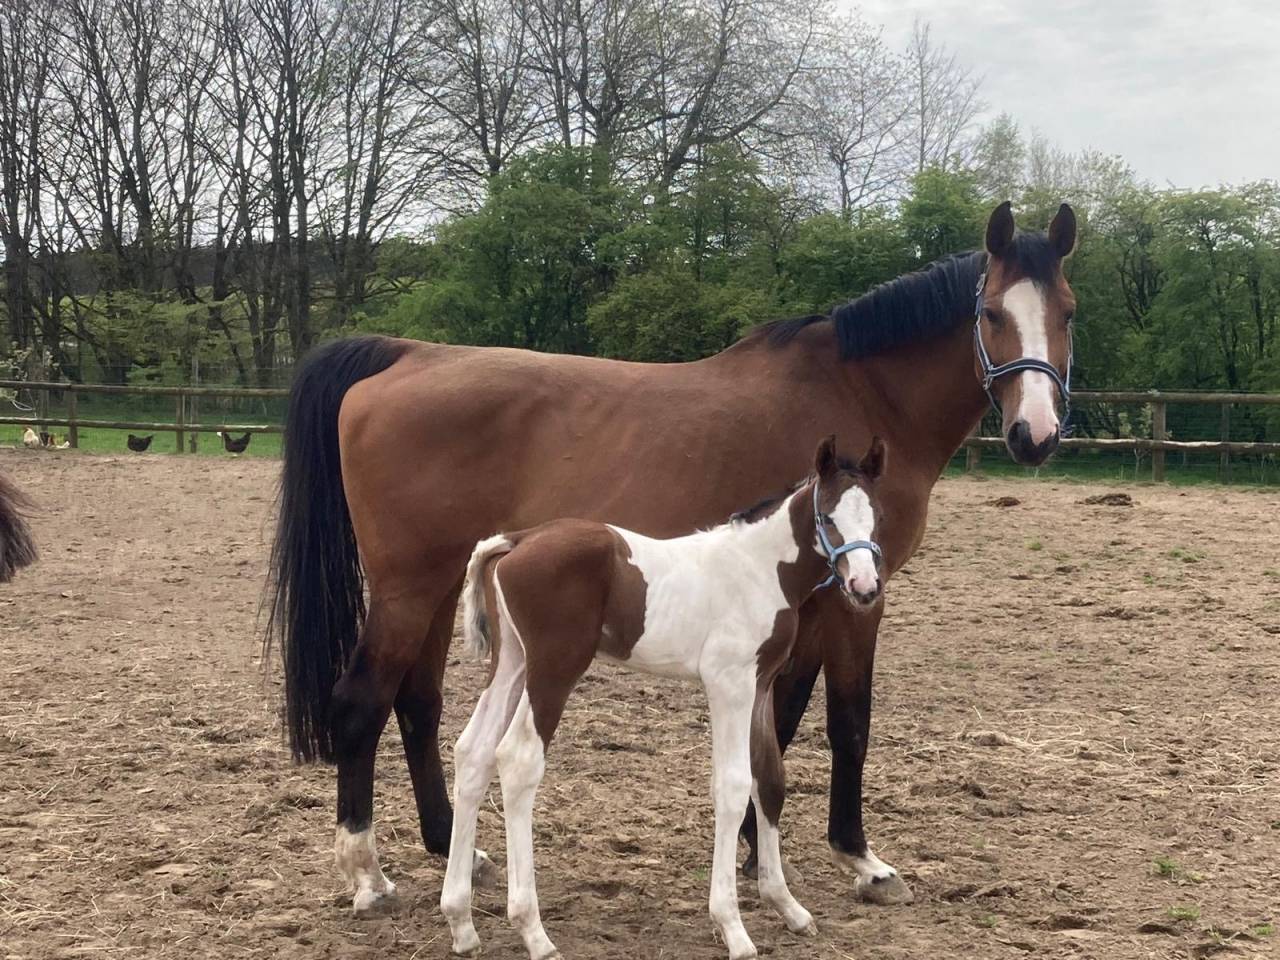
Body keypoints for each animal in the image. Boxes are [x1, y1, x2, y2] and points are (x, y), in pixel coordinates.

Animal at [441, 435, 888, 960]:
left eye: (876, 515)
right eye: (829, 516)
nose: (865, 587)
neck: (757, 568)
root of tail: (520, 539)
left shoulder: (760, 684)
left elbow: (770, 780)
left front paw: (788, 907)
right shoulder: (729, 683)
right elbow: (733, 787)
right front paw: (733, 927)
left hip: (512, 663)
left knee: (472, 752)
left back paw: (461, 922)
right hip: (553, 669)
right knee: (517, 758)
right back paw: (534, 931)